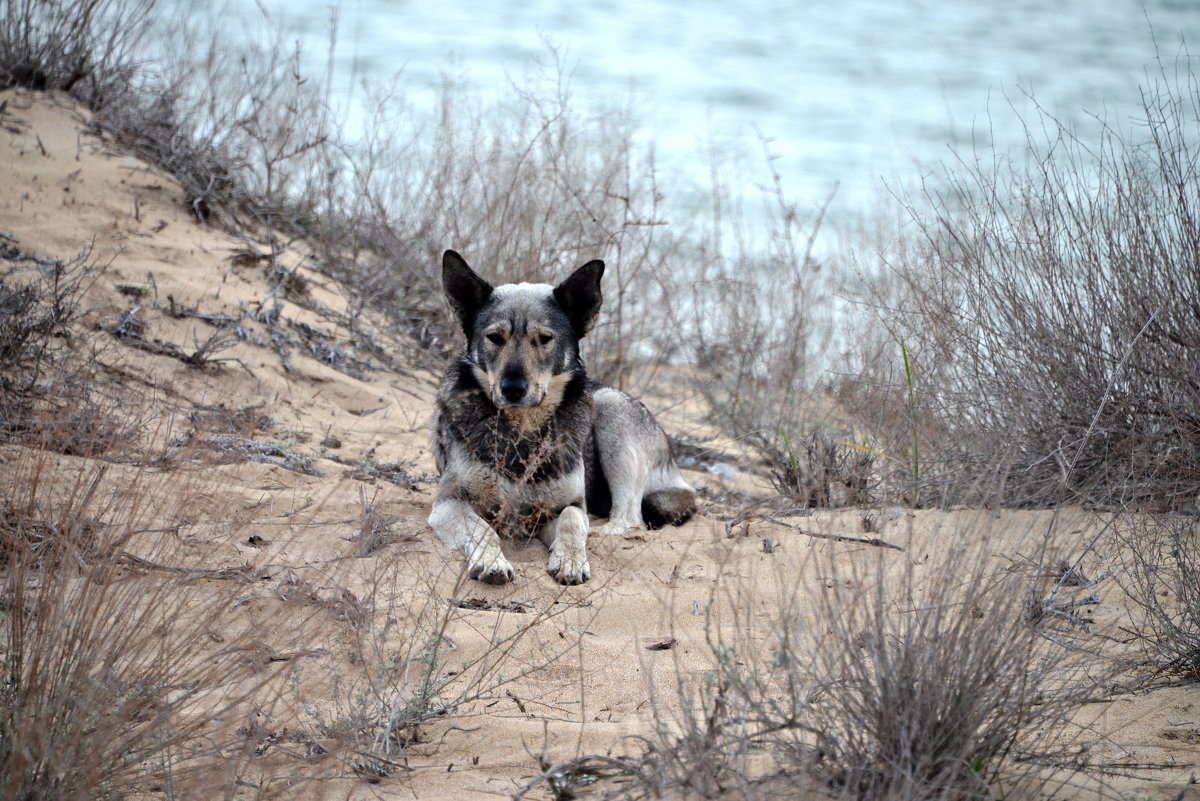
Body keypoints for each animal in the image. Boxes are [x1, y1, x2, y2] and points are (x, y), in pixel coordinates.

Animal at [429, 253, 696, 585]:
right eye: (494, 338)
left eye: (544, 339)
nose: (512, 389)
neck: (524, 432)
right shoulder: (448, 502)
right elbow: (482, 528)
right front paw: (492, 561)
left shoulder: (565, 507)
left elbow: (572, 521)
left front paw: (570, 560)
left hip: (610, 406)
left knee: (628, 519)